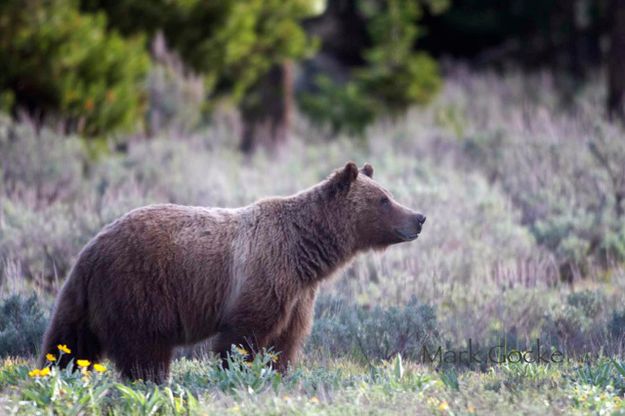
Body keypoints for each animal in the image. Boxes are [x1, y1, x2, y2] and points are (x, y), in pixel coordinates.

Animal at [39, 161, 424, 382]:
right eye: (383, 200)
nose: (419, 217)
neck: (304, 253)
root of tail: (90, 249)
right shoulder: (264, 276)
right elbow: (242, 338)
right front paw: (238, 375)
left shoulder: (298, 295)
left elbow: (286, 342)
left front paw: (277, 375)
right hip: (138, 289)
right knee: (144, 350)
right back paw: (153, 381)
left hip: (85, 299)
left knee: (68, 342)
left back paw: (52, 372)